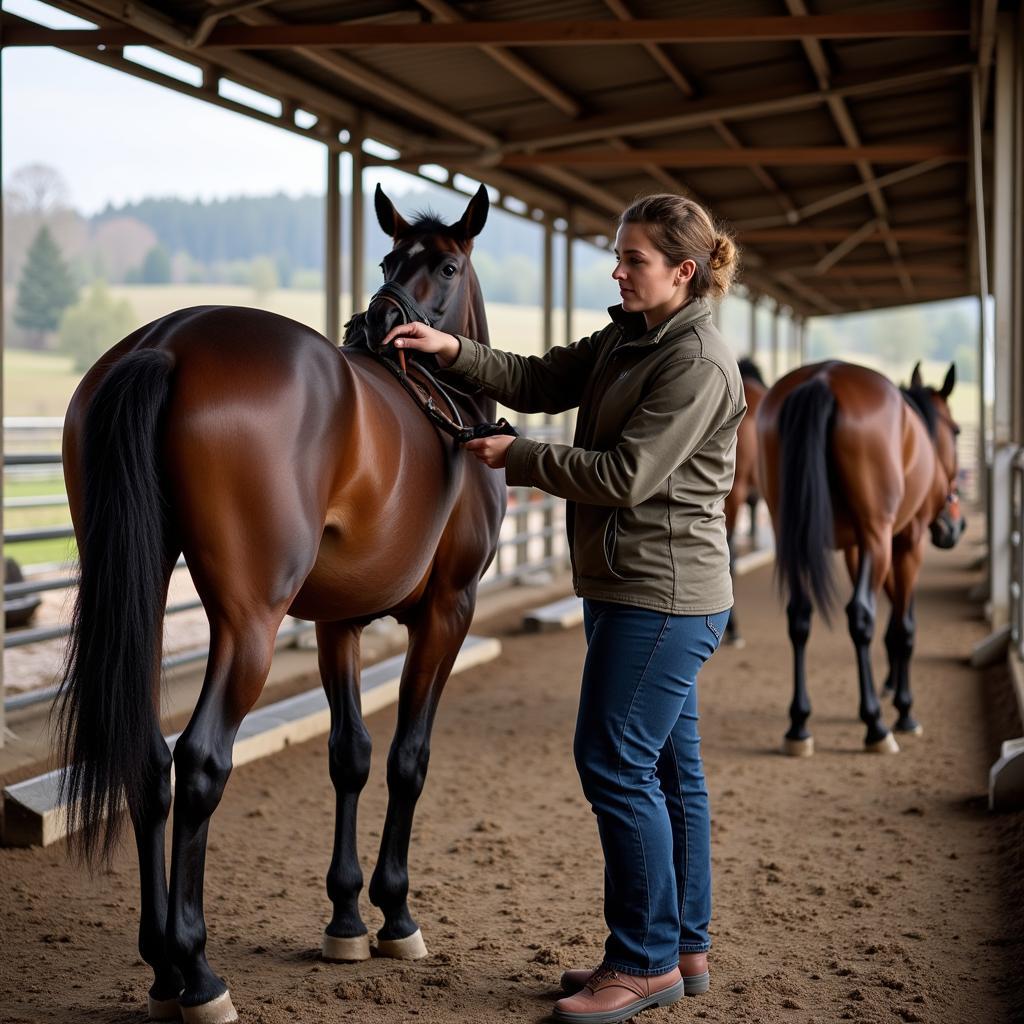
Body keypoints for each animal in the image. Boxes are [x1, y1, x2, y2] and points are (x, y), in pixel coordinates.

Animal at [56, 186, 503, 1024]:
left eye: (444, 266)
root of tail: (167, 341)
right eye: (393, 259)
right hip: (249, 622)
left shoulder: (338, 622)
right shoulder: (448, 612)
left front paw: (346, 918)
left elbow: (350, 755)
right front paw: (396, 916)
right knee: (200, 761)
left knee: (148, 759)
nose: (382, 321)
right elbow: (408, 759)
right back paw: (197, 973)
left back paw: (160, 967)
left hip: (146, 589)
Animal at [757, 358, 962, 753]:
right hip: (878, 537)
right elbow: (904, 626)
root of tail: (822, 379)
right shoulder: (905, 543)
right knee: (862, 615)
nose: (953, 527)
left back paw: (799, 726)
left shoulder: (856, 549)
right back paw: (876, 727)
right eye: (958, 431)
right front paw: (904, 710)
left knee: (799, 616)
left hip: (791, 533)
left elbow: (893, 621)